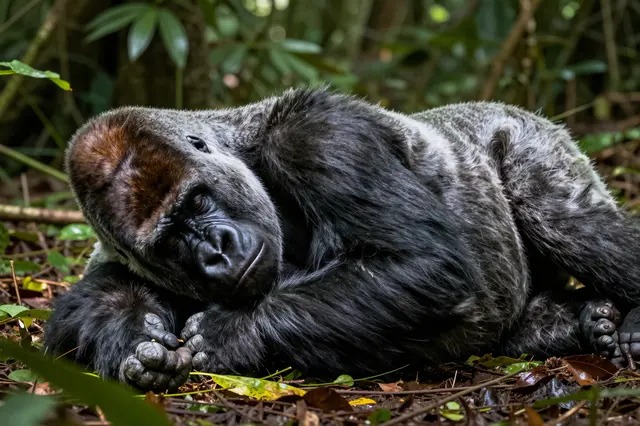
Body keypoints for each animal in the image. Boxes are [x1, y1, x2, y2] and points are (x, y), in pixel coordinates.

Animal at [43, 87, 640, 393]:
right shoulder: (113, 253)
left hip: (531, 139)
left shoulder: (318, 134)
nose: (215, 251)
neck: (241, 144)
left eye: (197, 203)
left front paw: (232, 332)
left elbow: (419, 263)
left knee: (574, 224)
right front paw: (134, 341)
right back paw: (587, 321)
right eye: (169, 242)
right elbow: (86, 302)